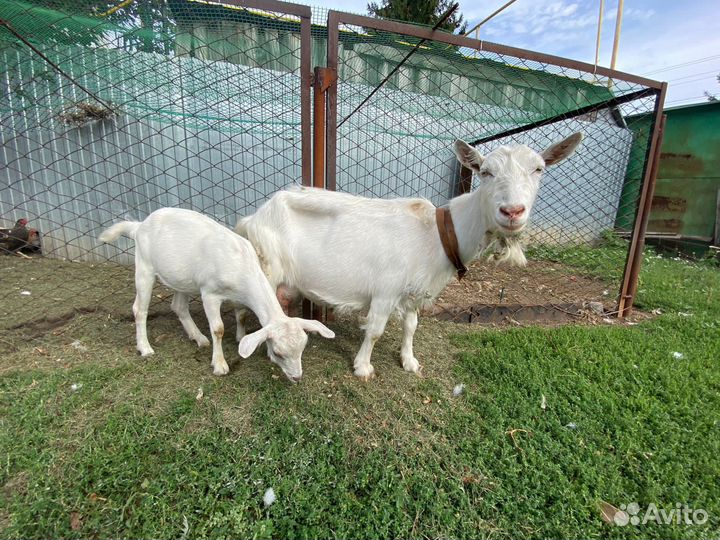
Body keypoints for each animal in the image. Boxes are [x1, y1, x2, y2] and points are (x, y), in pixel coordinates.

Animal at [99, 208, 334, 380]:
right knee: (139, 309)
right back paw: (145, 348)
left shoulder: (239, 296)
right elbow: (218, 329)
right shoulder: (209, 293)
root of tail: (139, 226)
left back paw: (198, 338)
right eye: (277, 352)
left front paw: (239, 337)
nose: (297, 377)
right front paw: (220, 365)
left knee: (178, 306)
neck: (240, 266)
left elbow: (242, 315)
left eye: (303, 348)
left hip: (183, 280)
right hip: (144, 265)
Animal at [236, 134, 583, 379]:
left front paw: (410, 361)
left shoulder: (415, 292)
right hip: (265, 267)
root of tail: (252, 218)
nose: (512, 211)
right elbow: (375, 330)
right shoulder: (385, 290)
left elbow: (412, 326)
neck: (437, 234)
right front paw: (363, 368)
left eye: (538, 169)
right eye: (485, 172)